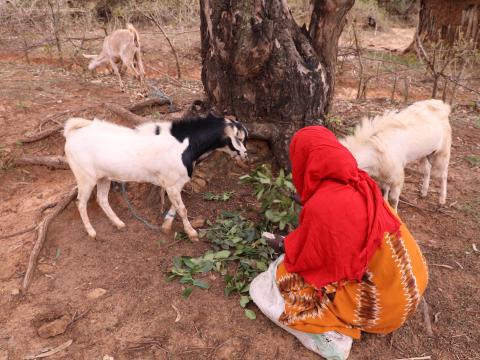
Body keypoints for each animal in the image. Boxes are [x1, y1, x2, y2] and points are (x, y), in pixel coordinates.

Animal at [62, 114, 248, 240]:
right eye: (239, 138)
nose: (246, 155)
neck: (185, 144)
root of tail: (73, 135)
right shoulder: (172, 183)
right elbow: (182, 208)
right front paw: (191, 233)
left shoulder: (175, 183)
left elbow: (176, 205)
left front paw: (166, 225)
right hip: (85, 177)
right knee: (81, 202)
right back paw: (91, 231)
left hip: (104, 177)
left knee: (101, 199)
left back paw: (119, 223)